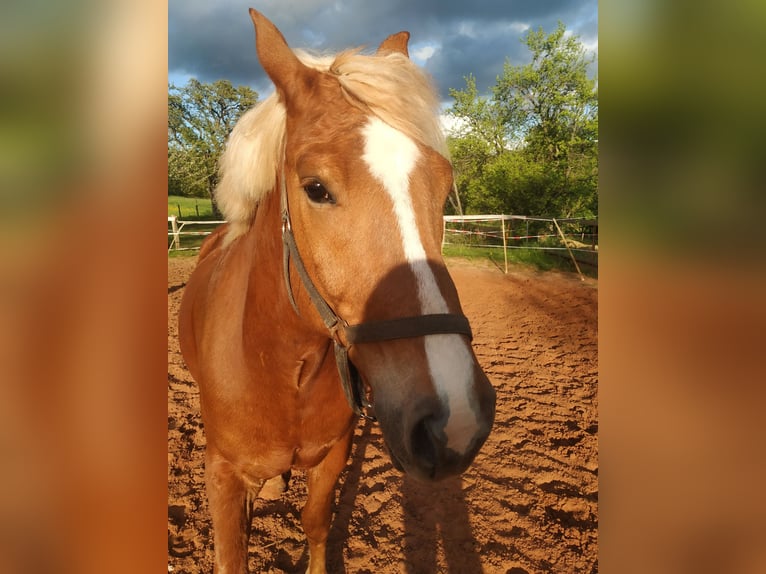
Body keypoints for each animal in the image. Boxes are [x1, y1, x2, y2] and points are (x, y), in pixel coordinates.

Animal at [179, 10, 498, 574]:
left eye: (442, 185)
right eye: (316, 188)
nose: (456, 420)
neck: (282, 369)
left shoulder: (333, 454)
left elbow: (316, 523)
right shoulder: (221, 475)